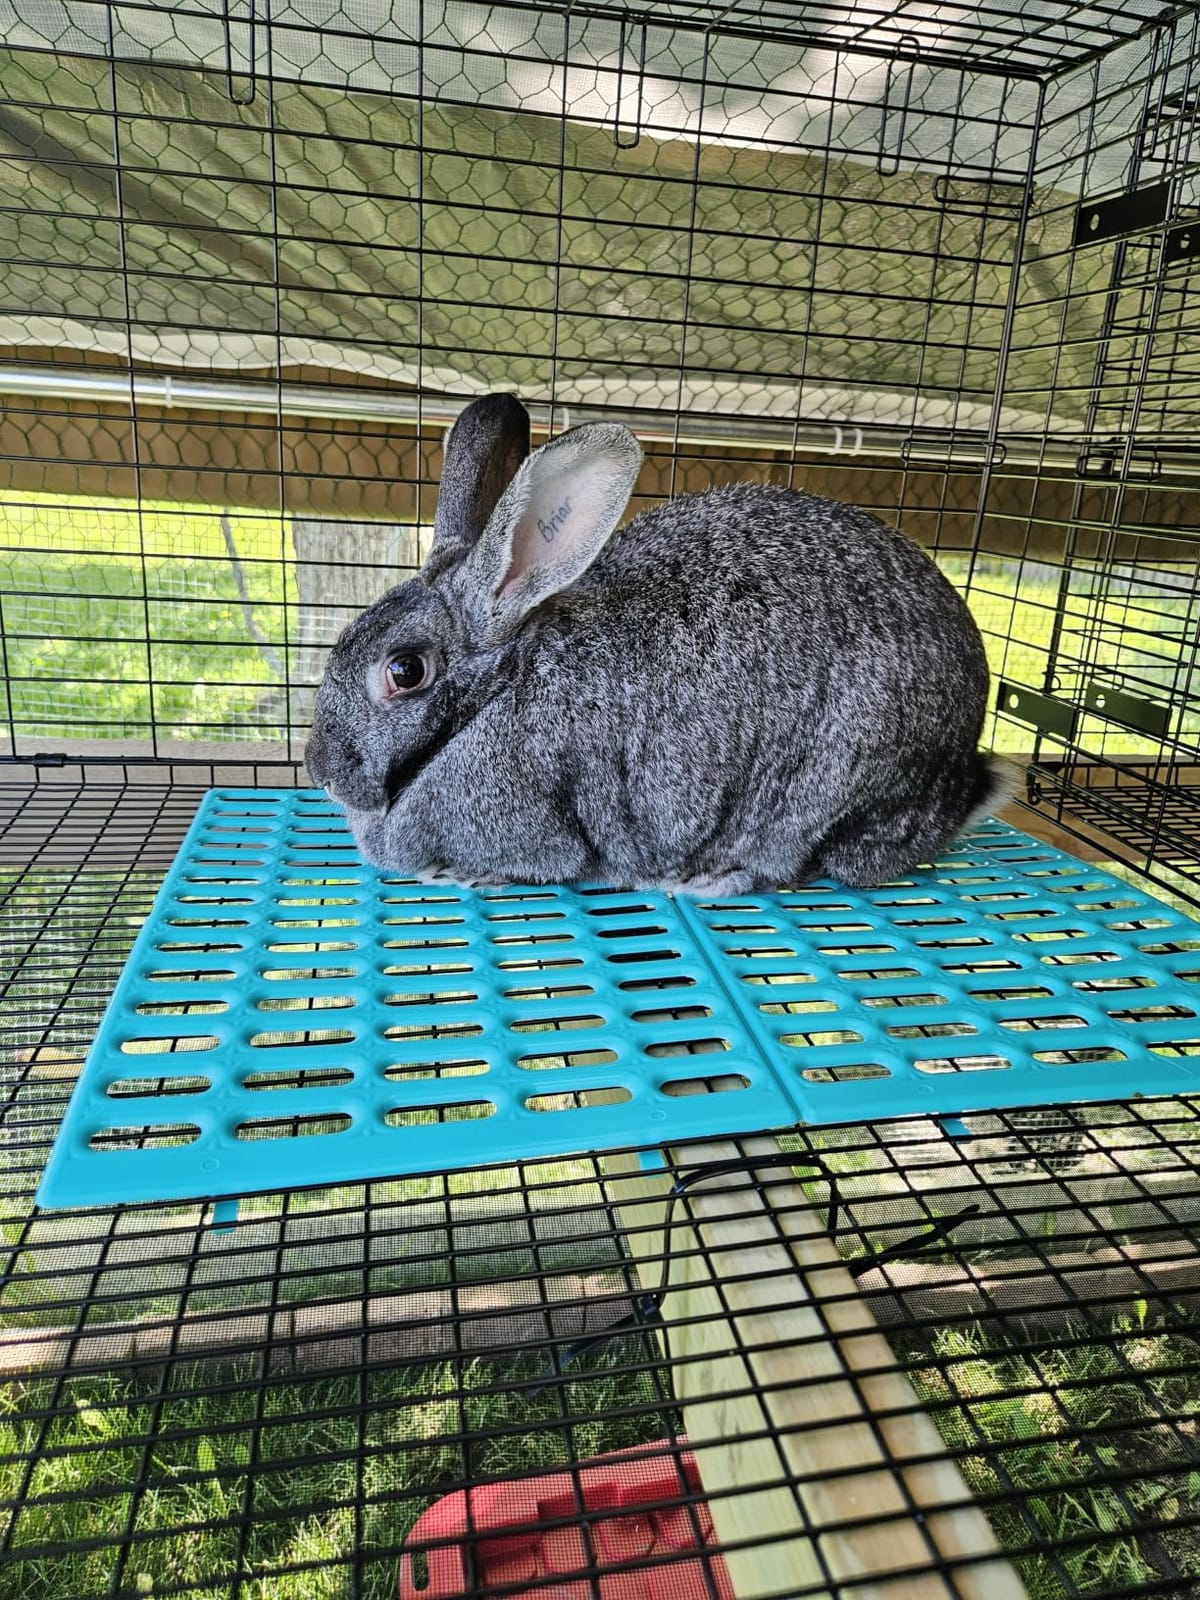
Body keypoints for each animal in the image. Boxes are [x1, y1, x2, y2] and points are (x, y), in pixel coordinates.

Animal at [304, 392, 1007, 895]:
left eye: (405, 670)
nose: (319, 771)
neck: (496, 692)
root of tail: (960, 779)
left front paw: (461, 874)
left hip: (823, 797)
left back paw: (708, 880)